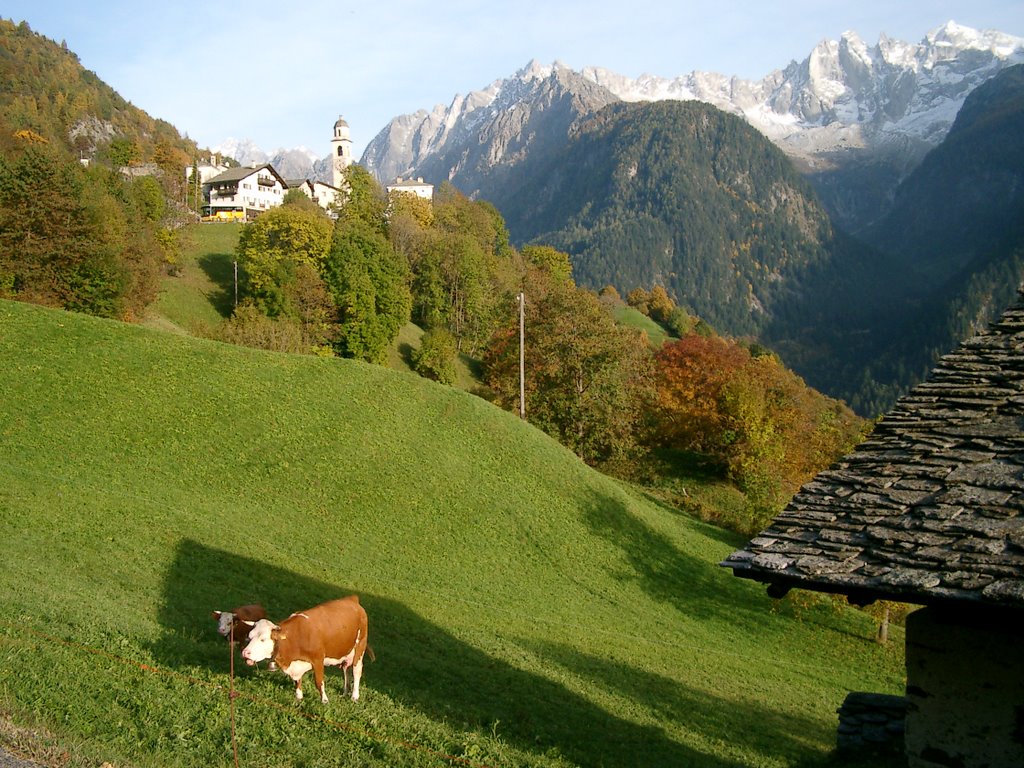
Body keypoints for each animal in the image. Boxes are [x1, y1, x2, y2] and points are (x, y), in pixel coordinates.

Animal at [241, 598, 370, 708]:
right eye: (249, 637)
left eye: (263, 639)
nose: (245, 653)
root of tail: (352, 599)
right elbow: (297, 681)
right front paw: (298, 697)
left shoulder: (318, 659)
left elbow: (319, 682)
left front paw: (324, 700)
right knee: (346, 670)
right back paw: (345, 692)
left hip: (360, 647)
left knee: (356, 671)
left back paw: (354, 696)